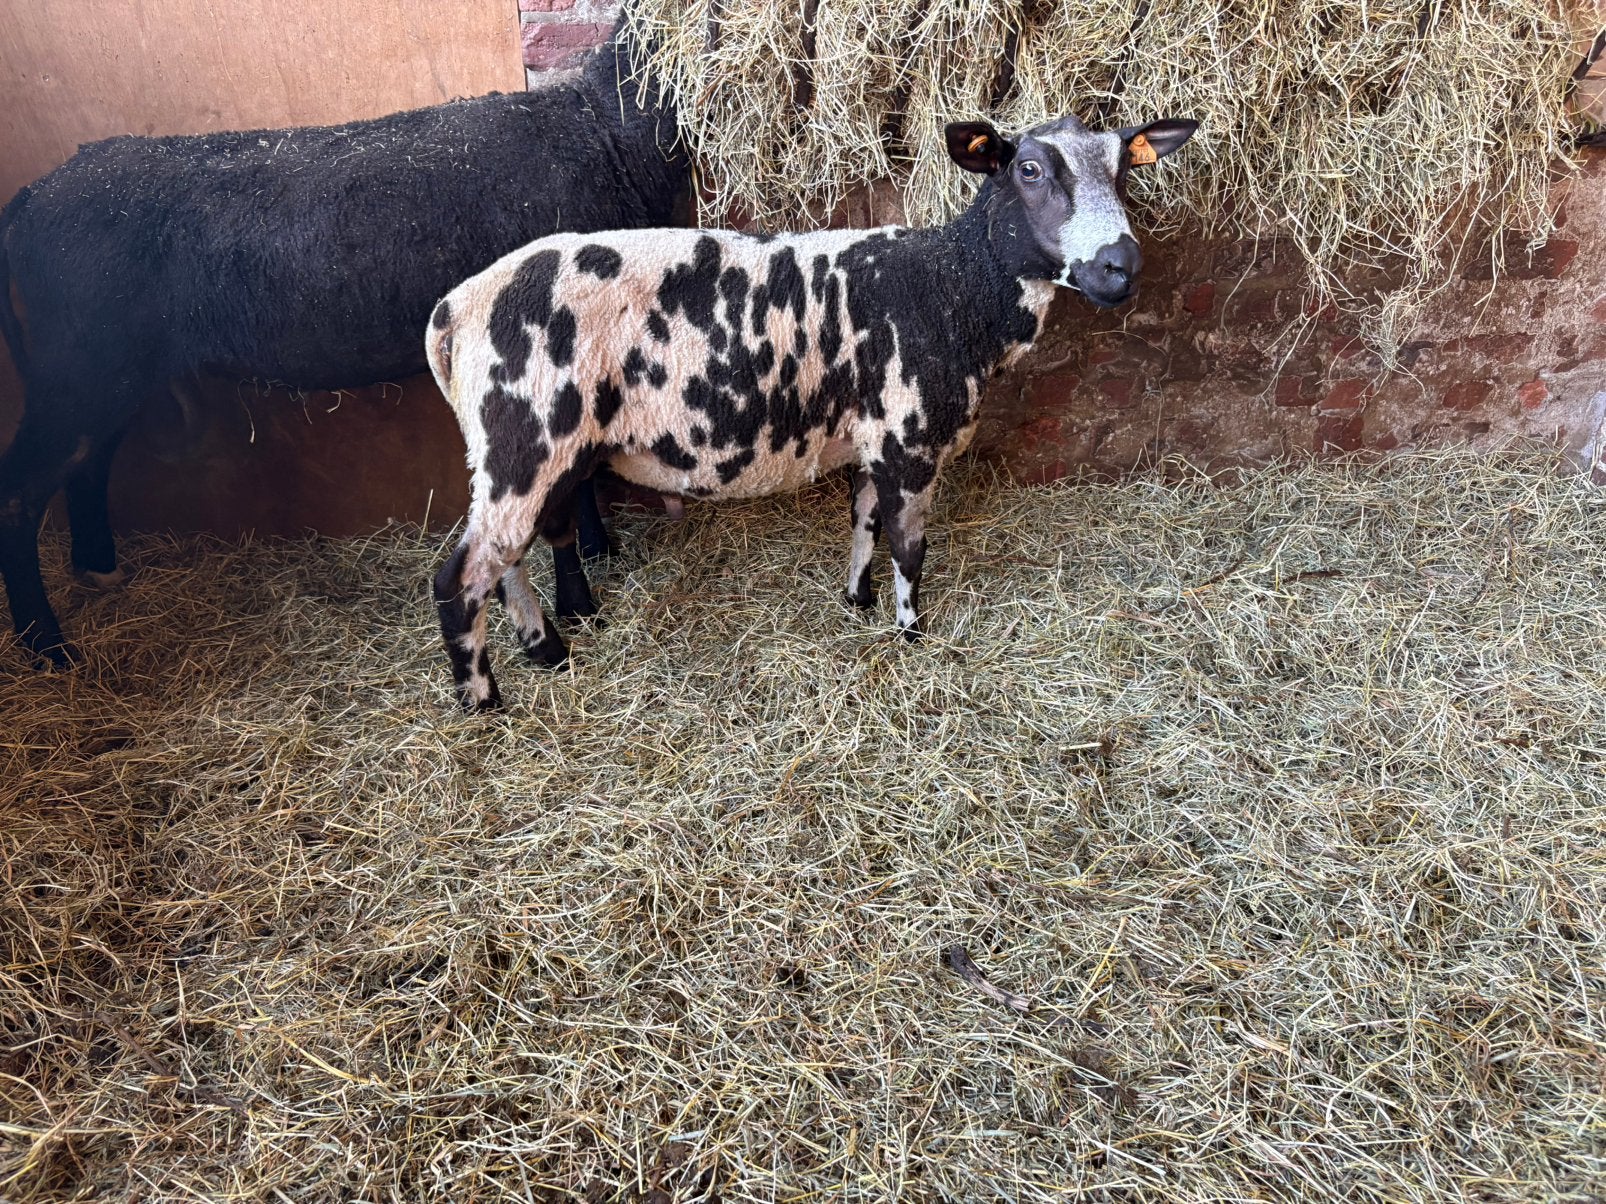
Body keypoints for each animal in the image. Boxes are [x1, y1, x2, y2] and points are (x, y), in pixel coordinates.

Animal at [0, 29, 685, 667]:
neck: (603, 128)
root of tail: (30, 200)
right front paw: (582, 599)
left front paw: (597, 557)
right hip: (79, 368)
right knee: (22, 492)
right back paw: (48, 648)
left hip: (105, 374)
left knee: (88, 462)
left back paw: (98, 570)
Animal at [428, 113, 1198, 710]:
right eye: (1031, 169)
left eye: (1122, 171)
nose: (1121, 267)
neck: (952, 286)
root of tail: (453, 312)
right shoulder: (909, 439)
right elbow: (909, 545)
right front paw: (909, 630)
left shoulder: (874, 436)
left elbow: (864, 521)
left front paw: (858, 598)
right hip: (522, 439)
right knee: (461, 577)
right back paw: (484, 701)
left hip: (535, 452)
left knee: (511, 558)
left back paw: (547, 648)